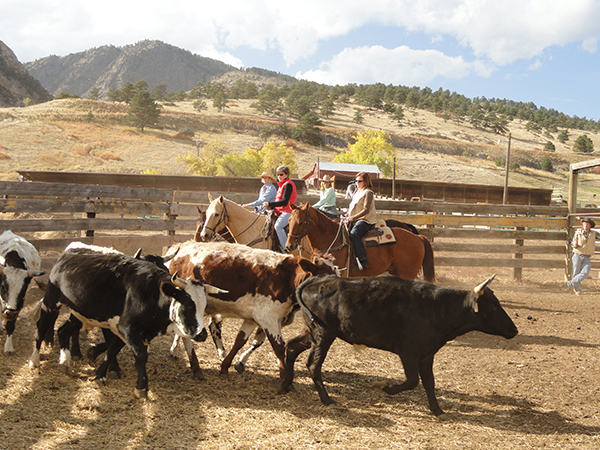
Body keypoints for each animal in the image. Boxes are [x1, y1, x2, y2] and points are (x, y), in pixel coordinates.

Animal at [29, 246, 213, 398]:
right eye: (189, 304)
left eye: (204, 306)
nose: (202, 334)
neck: (151, 293)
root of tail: (67, 254)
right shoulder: (127, 328)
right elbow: (140, 353)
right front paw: (141, 386)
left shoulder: (121, 329)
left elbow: (112, 350)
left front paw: (100, 374)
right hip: (51, 303)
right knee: (41, 329)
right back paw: (34, 361)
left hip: (79, 314)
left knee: (63, 331)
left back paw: (65, 361)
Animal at [166, 241, 336, 378]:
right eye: (325, 277)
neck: (286, 277)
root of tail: (180, 246)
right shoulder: (268, 318)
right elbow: (279, 347)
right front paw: (284, 378)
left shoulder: (254, 319)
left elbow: (241, 341)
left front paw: (228, 366)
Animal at [284, 276, 516, 416]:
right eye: (492, 307)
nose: (514, 330)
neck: (438, 307)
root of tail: (318, 280)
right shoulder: (408, 353)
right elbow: (413, 381)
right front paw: (386, 388)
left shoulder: (427, 354)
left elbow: (429, 382)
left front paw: (437, 410)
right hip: (324, 334)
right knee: (313, 364)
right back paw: (326, 399)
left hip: (312, 333)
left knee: (291, 346)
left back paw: (286, 385)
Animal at [286, 203, 436, 282]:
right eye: (289, 220)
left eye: (300, 222)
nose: (289, 245)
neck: (330, 238)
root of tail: (418, 238)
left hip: (407, 274)